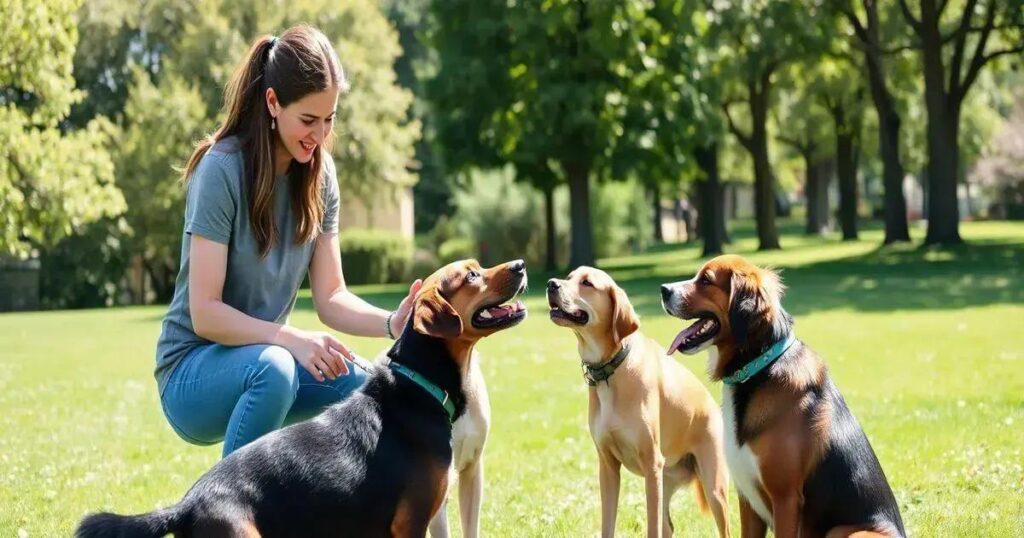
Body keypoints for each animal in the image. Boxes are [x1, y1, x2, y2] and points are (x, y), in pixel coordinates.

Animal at [548, 266, 733, 536]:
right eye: (569, 277)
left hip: (712, 488)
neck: (612, 370)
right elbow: (607, 525)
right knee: (668, 526)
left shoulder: (651, 464)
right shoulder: (608, 467)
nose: (551, 284)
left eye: (587, 283)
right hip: (665, 482)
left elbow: (651, 527)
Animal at [655, 256, 905, 536]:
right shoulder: (747, 499)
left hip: (844, 530)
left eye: (706, 280)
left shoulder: (785, 497)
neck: (757, 368)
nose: (664, 290)